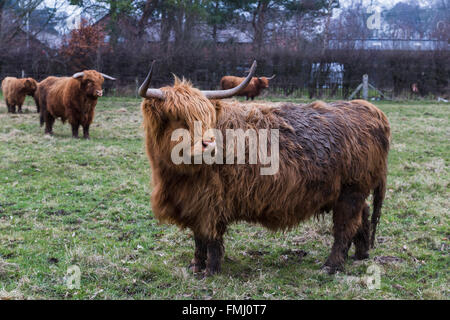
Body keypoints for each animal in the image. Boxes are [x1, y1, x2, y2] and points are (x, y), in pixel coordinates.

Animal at [138, 61, 390, 276]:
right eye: (177, 117)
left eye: (206, 116)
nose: (208, 143)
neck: (173, 175)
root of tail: (367, 109)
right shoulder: (193, 203)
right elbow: (198, 238)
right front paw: (195, 265)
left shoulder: (211, 203)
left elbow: (210, 239)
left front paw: (210, 270)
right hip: (349, 194)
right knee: (363, 215)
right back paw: (360, 254)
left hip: (351, 191)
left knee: (345, 227)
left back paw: (332, 265)